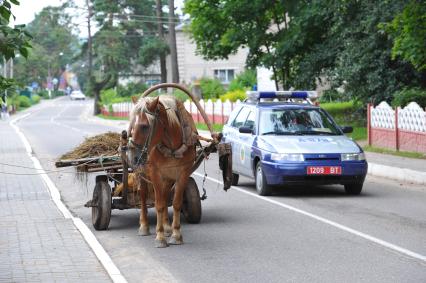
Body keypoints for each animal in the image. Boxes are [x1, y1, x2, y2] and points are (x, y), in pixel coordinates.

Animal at [128, 95, 198, 248]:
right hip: (142, 174)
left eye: (144, 126)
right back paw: (144, 226)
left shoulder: (183, 173)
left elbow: (176, 203)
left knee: (165, 195)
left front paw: (176, 234)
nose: (133, 156)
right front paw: (160, 237)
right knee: (143, 196)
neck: (171, 146)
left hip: (168, 178)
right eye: (131, 127)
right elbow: (158, 204)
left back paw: (167, 226)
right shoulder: (155, 173)